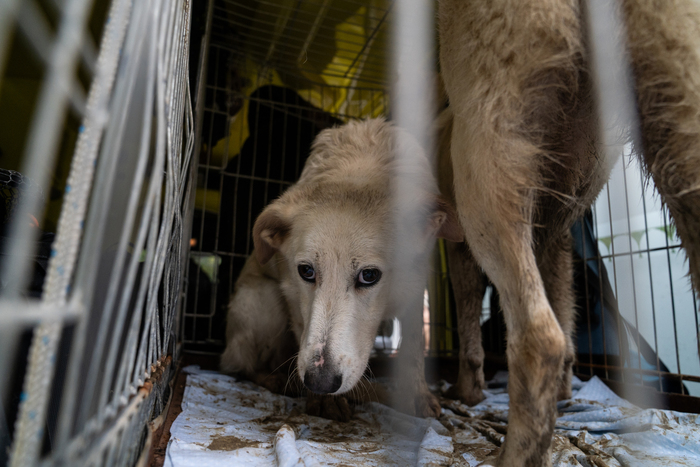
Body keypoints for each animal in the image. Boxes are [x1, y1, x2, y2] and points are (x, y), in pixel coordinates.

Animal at [440, 0, 700, 466]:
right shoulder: (555, 233)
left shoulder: (463, 247)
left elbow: (469, 325)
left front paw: (467, 394)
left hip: (488, 156)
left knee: (540, 338)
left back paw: (512, 454)